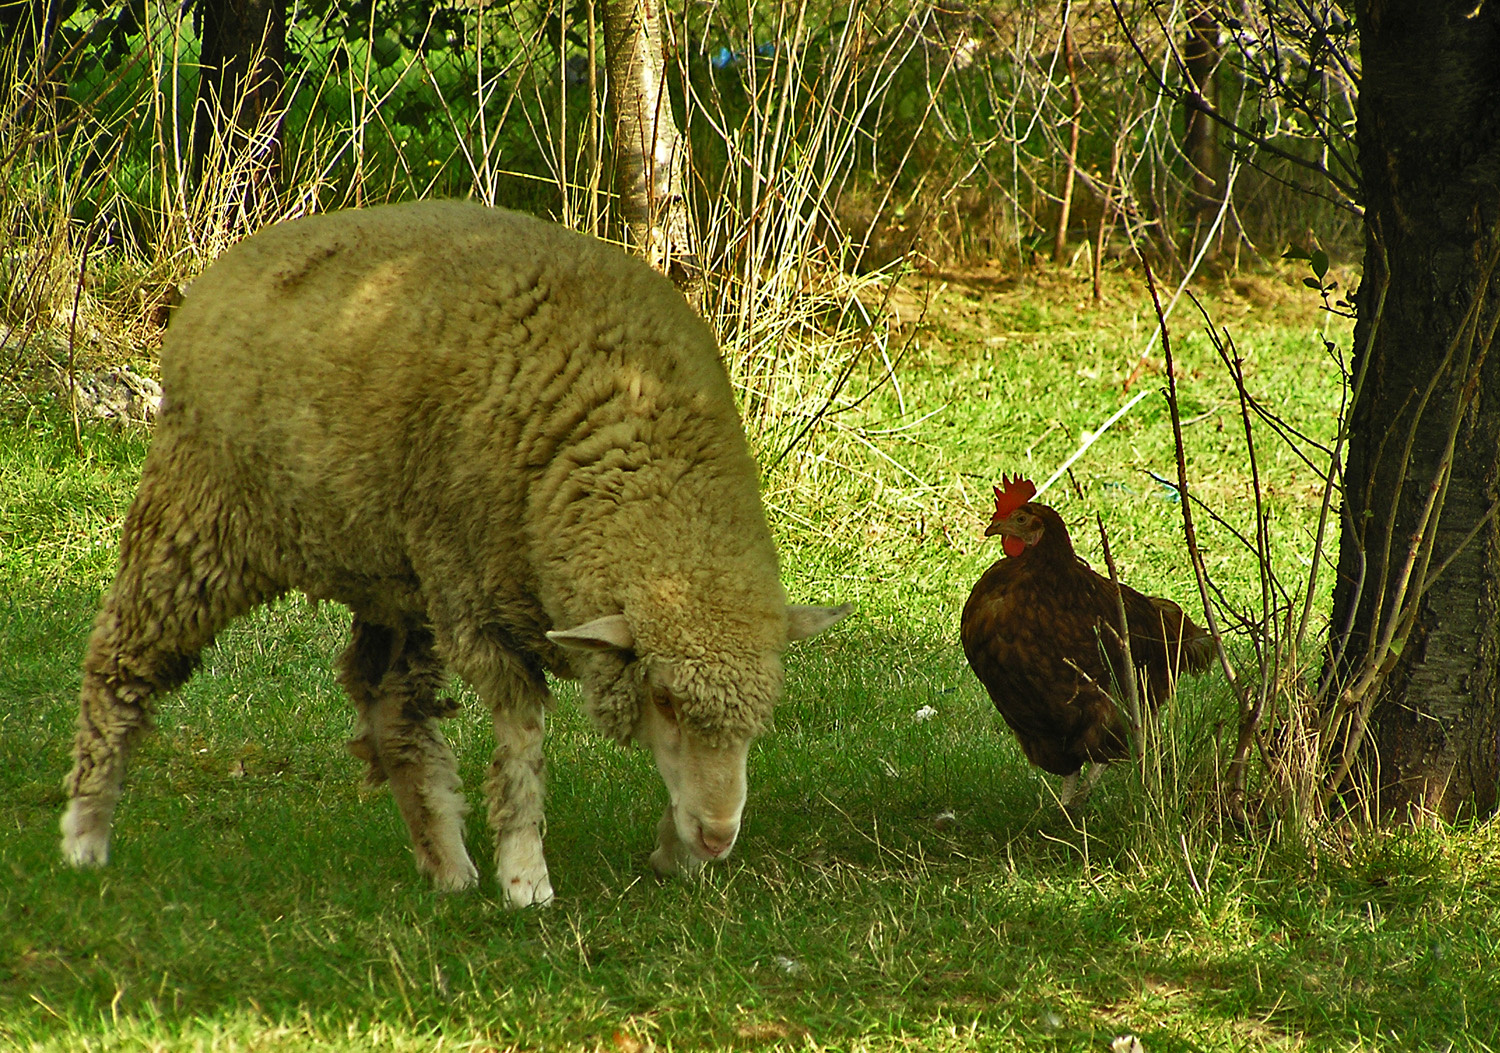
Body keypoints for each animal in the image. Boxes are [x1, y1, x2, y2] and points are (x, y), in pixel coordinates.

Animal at [58, 202, 852, 912]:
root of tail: (226, 269)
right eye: (662, 698)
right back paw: (86, 828)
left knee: (390, 709)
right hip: (200, 520)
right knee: (118, 658)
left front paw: (674, 852)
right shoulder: (477, 604)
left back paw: (444, 861)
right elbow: (523, 746)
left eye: (759, 714)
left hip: (393, 577)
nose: (719, 835)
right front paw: (526, 873)